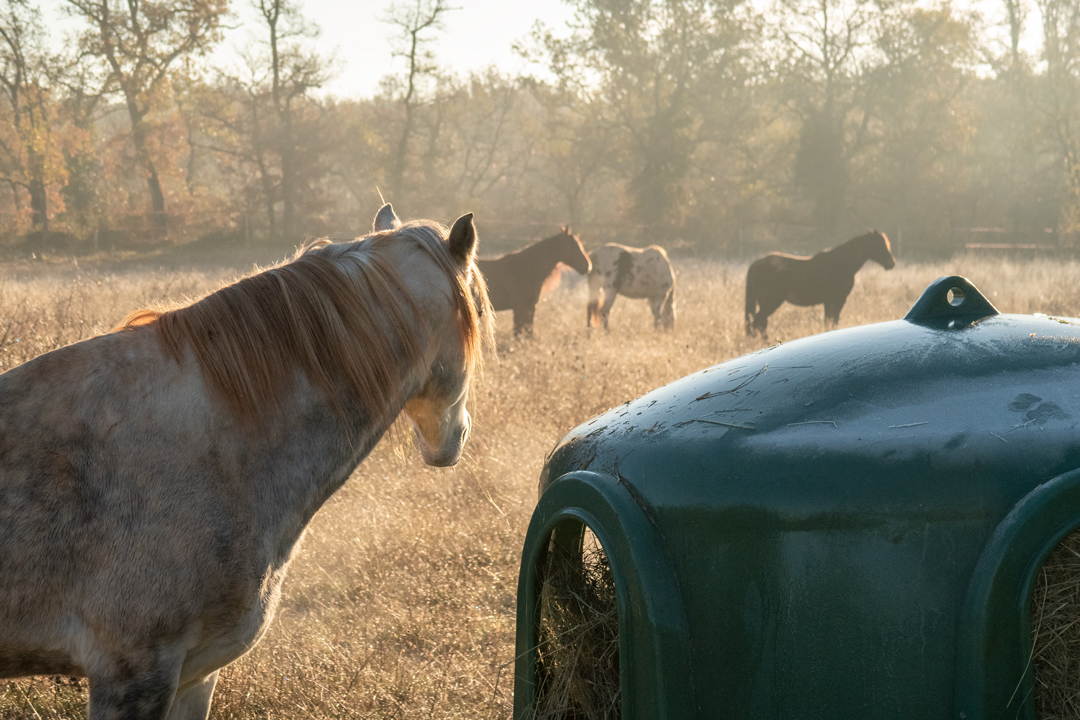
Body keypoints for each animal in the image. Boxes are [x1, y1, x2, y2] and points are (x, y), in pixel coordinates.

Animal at [747, 229, 898, 336]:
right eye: (879, 245)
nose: (891, 263)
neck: (842, 263)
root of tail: (755, 265)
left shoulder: (828, 302)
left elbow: (828, 323)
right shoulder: (838, 300)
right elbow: (833, 322)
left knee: (759, 326)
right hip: (770, 303)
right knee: (756, 325)